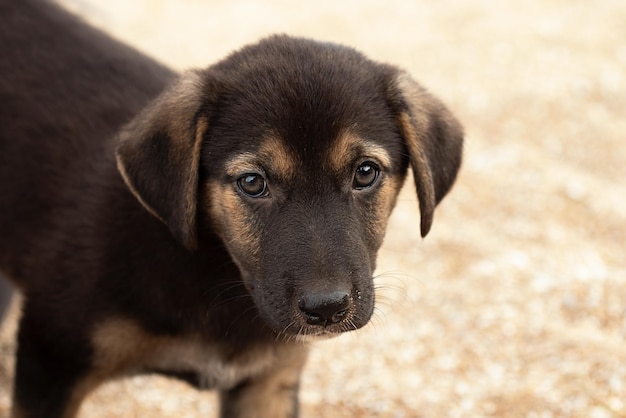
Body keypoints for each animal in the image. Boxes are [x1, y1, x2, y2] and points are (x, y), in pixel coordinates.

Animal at [0, 0, 458, 418]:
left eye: (365, 173)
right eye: (252, 183)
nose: (327, 309)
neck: (214, 270)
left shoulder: (268, 381)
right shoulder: (50, 360)